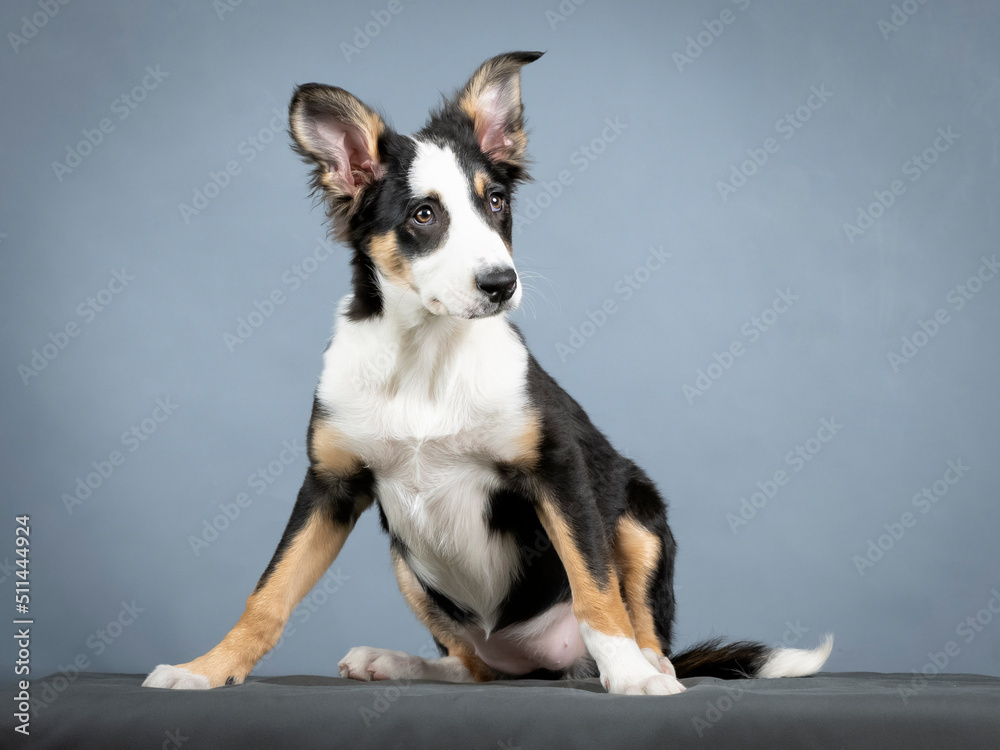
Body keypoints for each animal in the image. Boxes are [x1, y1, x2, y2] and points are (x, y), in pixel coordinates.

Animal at [143, 53, 828, 700]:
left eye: (496, 202)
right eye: (423, 215)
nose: (502, 284)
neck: (426, 355)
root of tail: (540, 663)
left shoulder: (558, 469)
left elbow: (595, 587)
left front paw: (632, 678)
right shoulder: (330, 485)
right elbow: (269, 593)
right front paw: (205, 670)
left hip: (639, 515)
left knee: (639, 623)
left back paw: (649, 664)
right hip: (408, 563)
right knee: (471, 666)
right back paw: (394, 662)